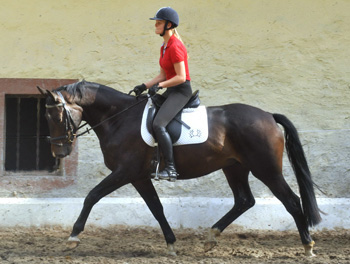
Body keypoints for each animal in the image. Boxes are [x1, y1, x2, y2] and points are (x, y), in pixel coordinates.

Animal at [37, 81, 322, 258]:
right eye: (46, 117)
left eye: (58, 116)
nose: (59, 153)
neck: (119, 118)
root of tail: (268, 116)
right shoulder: (139, 177)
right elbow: (156, 207)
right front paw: (171, 243)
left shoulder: (125, 172)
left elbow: (92, 196)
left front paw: (73, 236)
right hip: (235, 168)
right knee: (244, 200)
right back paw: (211, 236)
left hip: (266, 169)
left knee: (291, 201)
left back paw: (308, 246)